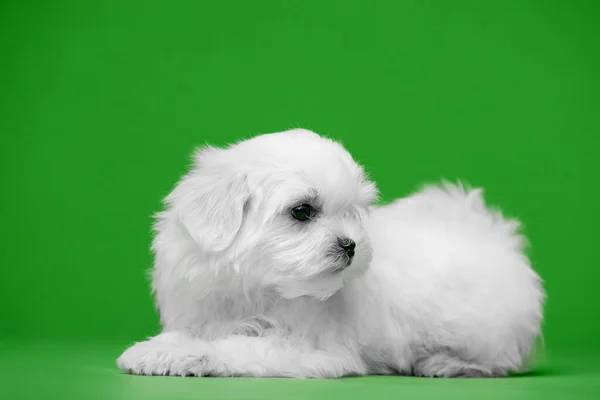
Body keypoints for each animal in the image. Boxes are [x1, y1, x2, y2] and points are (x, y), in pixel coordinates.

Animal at [116, 129, 544, 378]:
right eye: (302, 211)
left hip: (485, 326)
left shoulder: (309, 347)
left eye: (351, 213)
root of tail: (490, 235)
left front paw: (173, 355)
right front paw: (161, 348)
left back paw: (446, 363)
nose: (351, 245)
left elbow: (238, 347)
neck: (259, 287)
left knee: (499, 358)